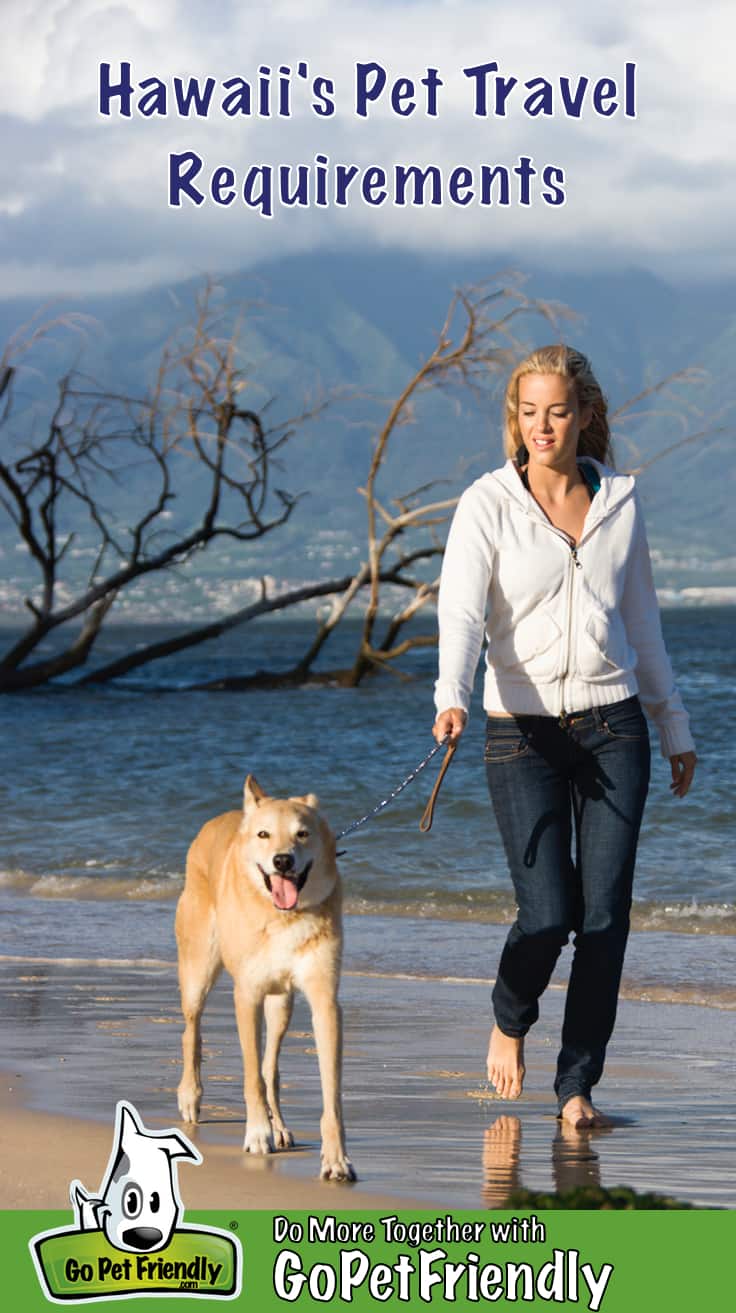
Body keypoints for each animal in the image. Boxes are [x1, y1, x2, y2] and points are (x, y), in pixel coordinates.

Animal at [174, 777, 354, 1181]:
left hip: (281, 1003)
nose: (282, 860)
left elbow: (330, 1094)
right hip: (198, 971)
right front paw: (257, 1135)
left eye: (302, 833)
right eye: (263, 834)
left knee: (271, 1066)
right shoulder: (248, 995)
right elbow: (250, 1076)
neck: (283, 917)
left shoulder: (324, 1001)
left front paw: (336, 1158)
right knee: (192, 1030)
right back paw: (191, 1096)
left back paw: (280, 1126)